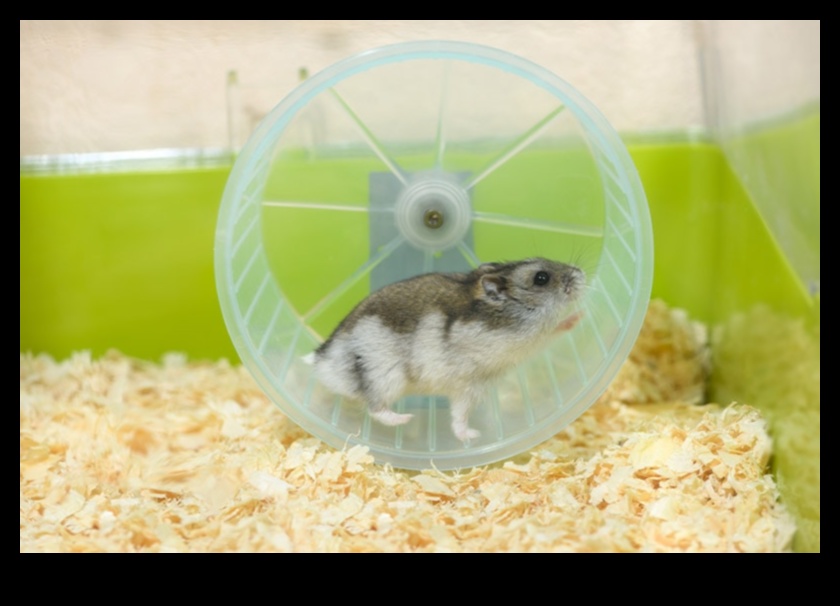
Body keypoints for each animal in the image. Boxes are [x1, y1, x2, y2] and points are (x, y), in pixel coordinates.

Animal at [309, 258, 586, 442]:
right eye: (541, 278)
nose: (581, 273)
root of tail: (323, 360)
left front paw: (579, 315)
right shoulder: (474, 381)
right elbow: (459, 418)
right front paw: (473, 435)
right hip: (385, 379)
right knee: (375, 408)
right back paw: (406, 418)